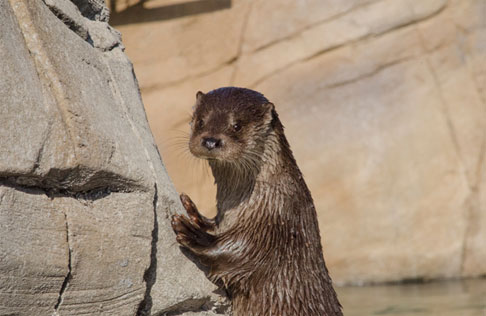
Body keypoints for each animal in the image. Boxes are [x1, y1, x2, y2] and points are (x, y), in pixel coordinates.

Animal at [171, 87, 342, 316]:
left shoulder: (277, 225)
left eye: (237, 125)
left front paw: (194, 235)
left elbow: (241, 253)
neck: (270, 192)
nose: (210, 141)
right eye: (200, 121)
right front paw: (194, 213)